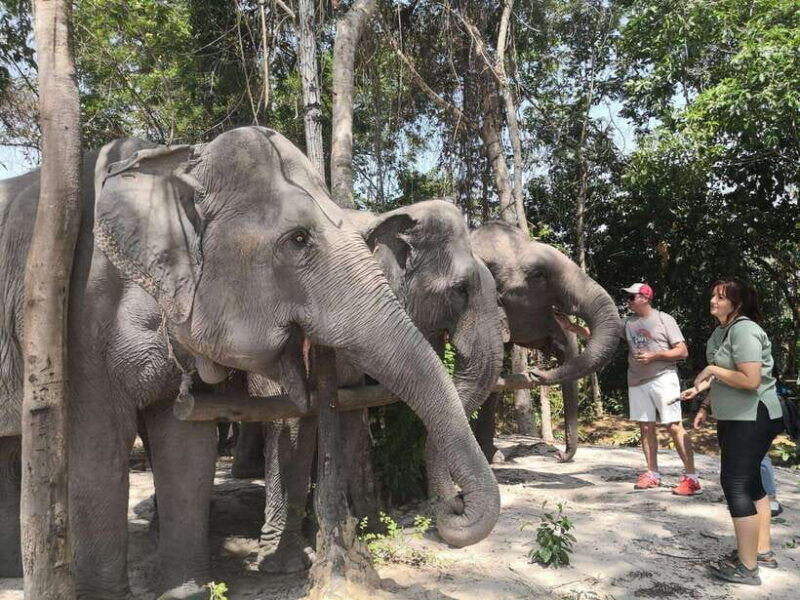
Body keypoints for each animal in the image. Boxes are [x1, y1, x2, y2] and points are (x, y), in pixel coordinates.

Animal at [231, 199, 506, 573]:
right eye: (460, 289)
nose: (457, 504)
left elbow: (344, 411)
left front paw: (349, 531)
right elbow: (291, 418)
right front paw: (287, 562)